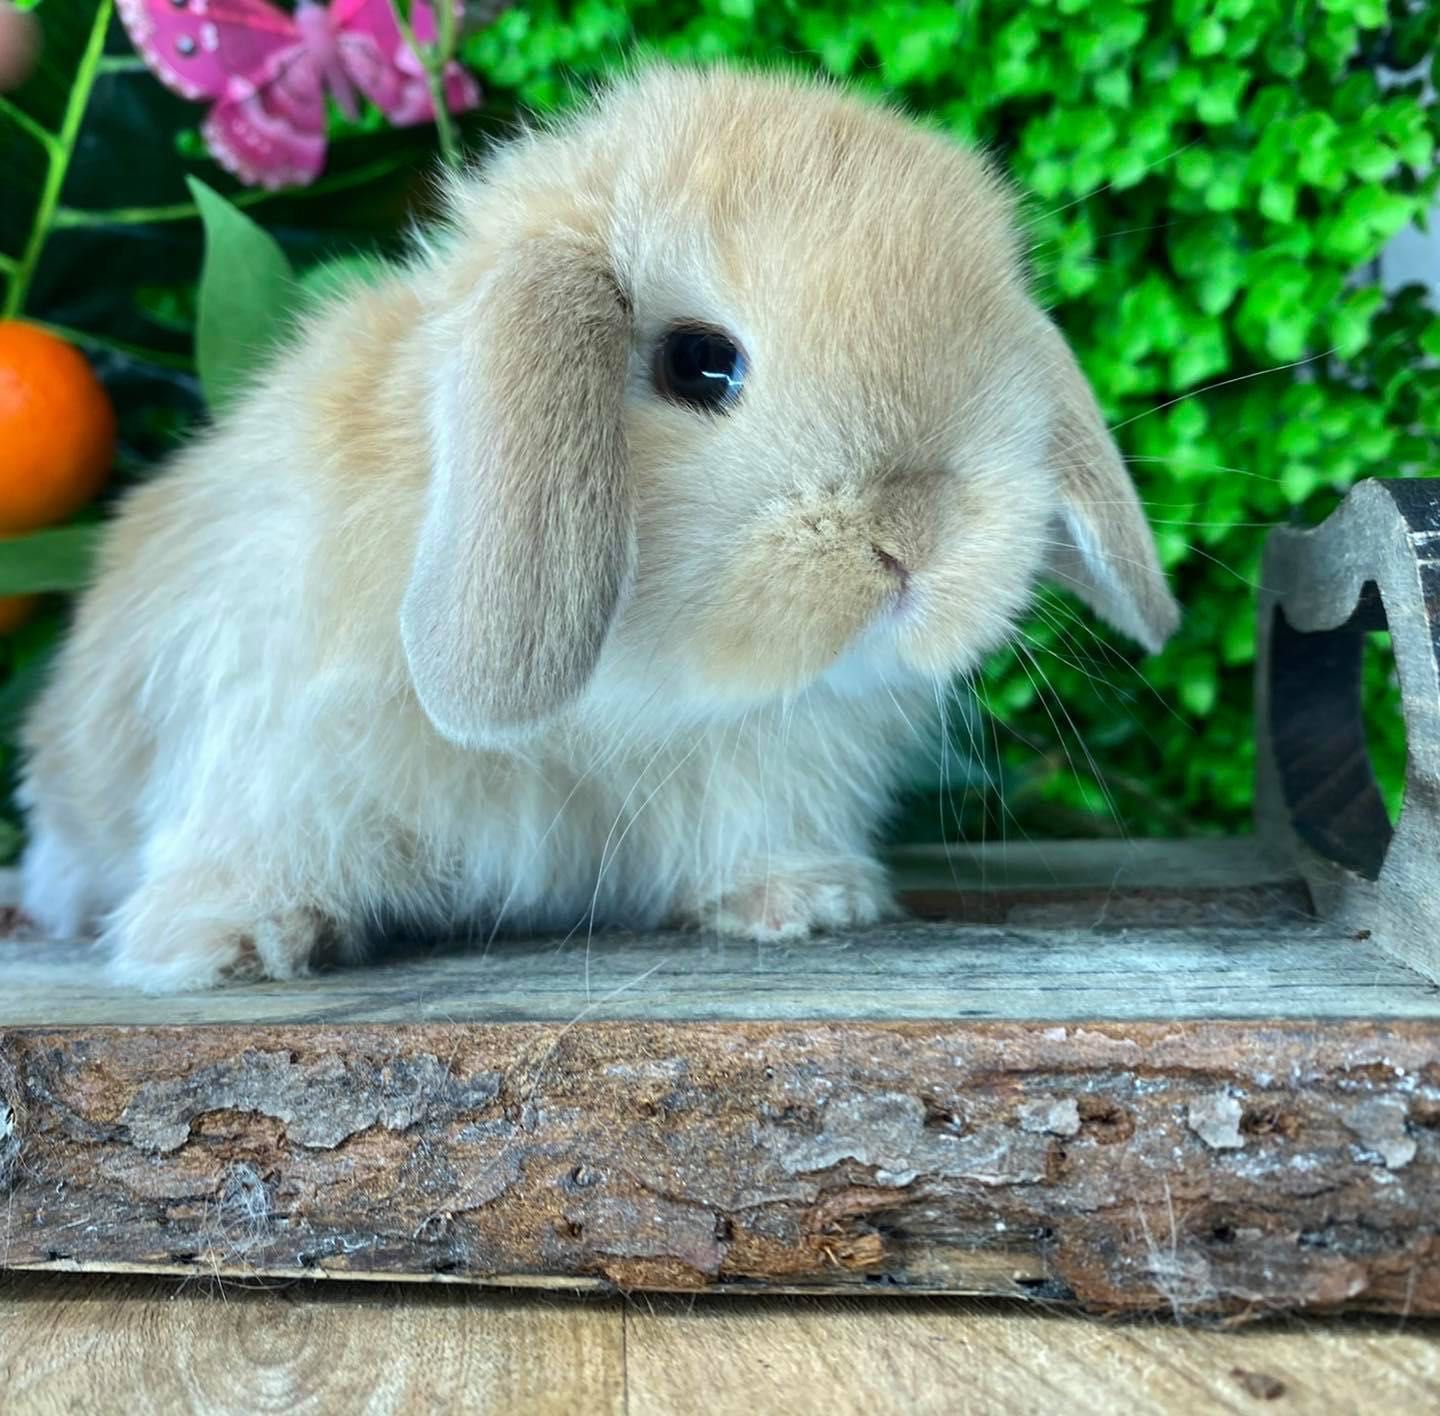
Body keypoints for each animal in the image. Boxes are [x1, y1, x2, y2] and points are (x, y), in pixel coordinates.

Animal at [16, 66, 1175, 991]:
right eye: (701, 364)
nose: (915, 540)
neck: (621, 699)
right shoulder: (267, 746)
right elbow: (246, 849)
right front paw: (231, 945)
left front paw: (805, 901)